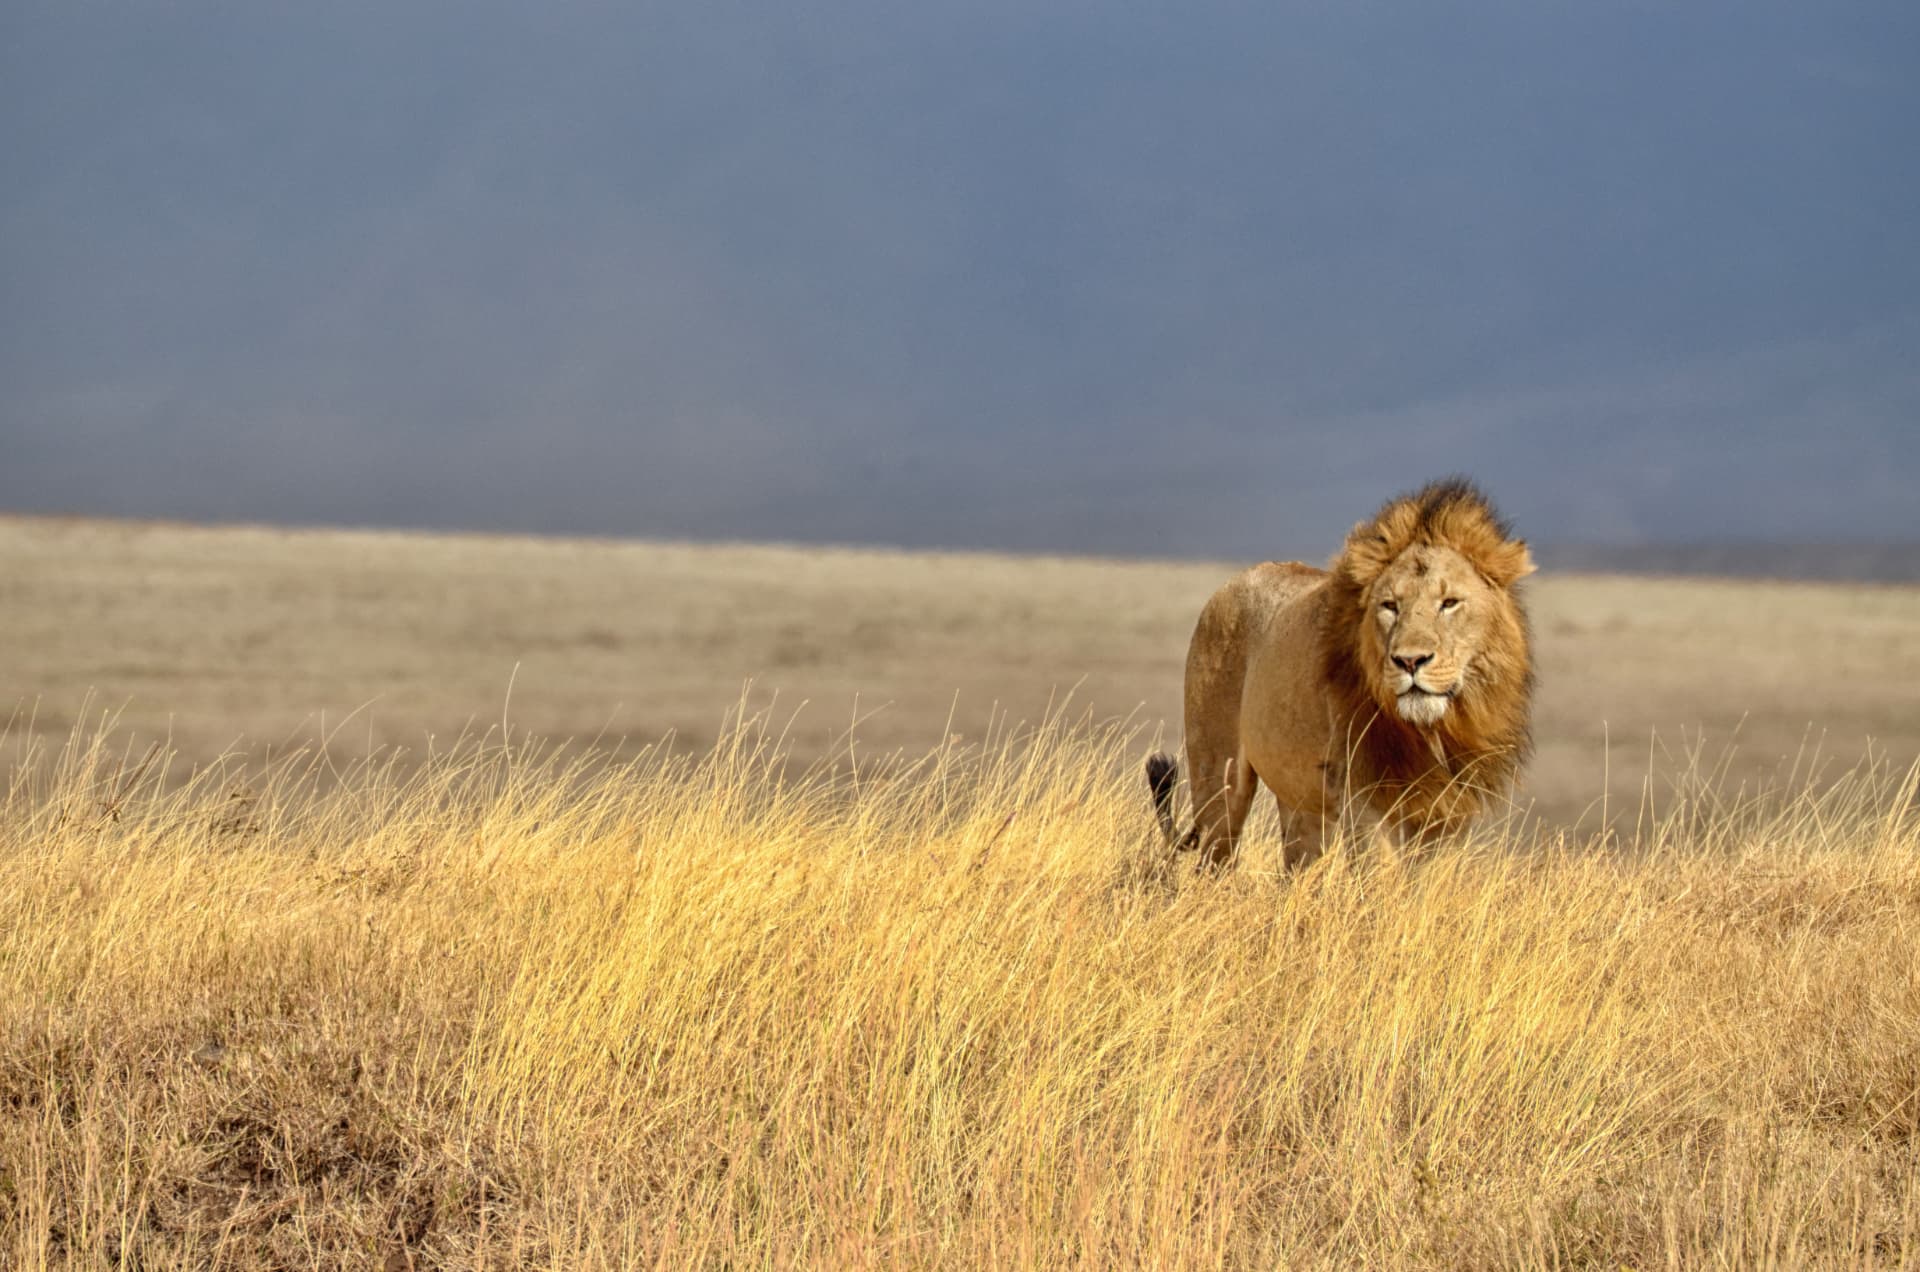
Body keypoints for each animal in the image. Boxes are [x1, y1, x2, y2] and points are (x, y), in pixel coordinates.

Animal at [1146, 478, 1535, 871]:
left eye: (1450, 603)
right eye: (1390, 606)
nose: (1409, 661)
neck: (1429, 731)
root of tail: (1229, 584)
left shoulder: (1447, 811)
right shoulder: (1365, 799)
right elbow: (1381, 876)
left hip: (1299, 797)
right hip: (1218, 778)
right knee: (1213, 860)